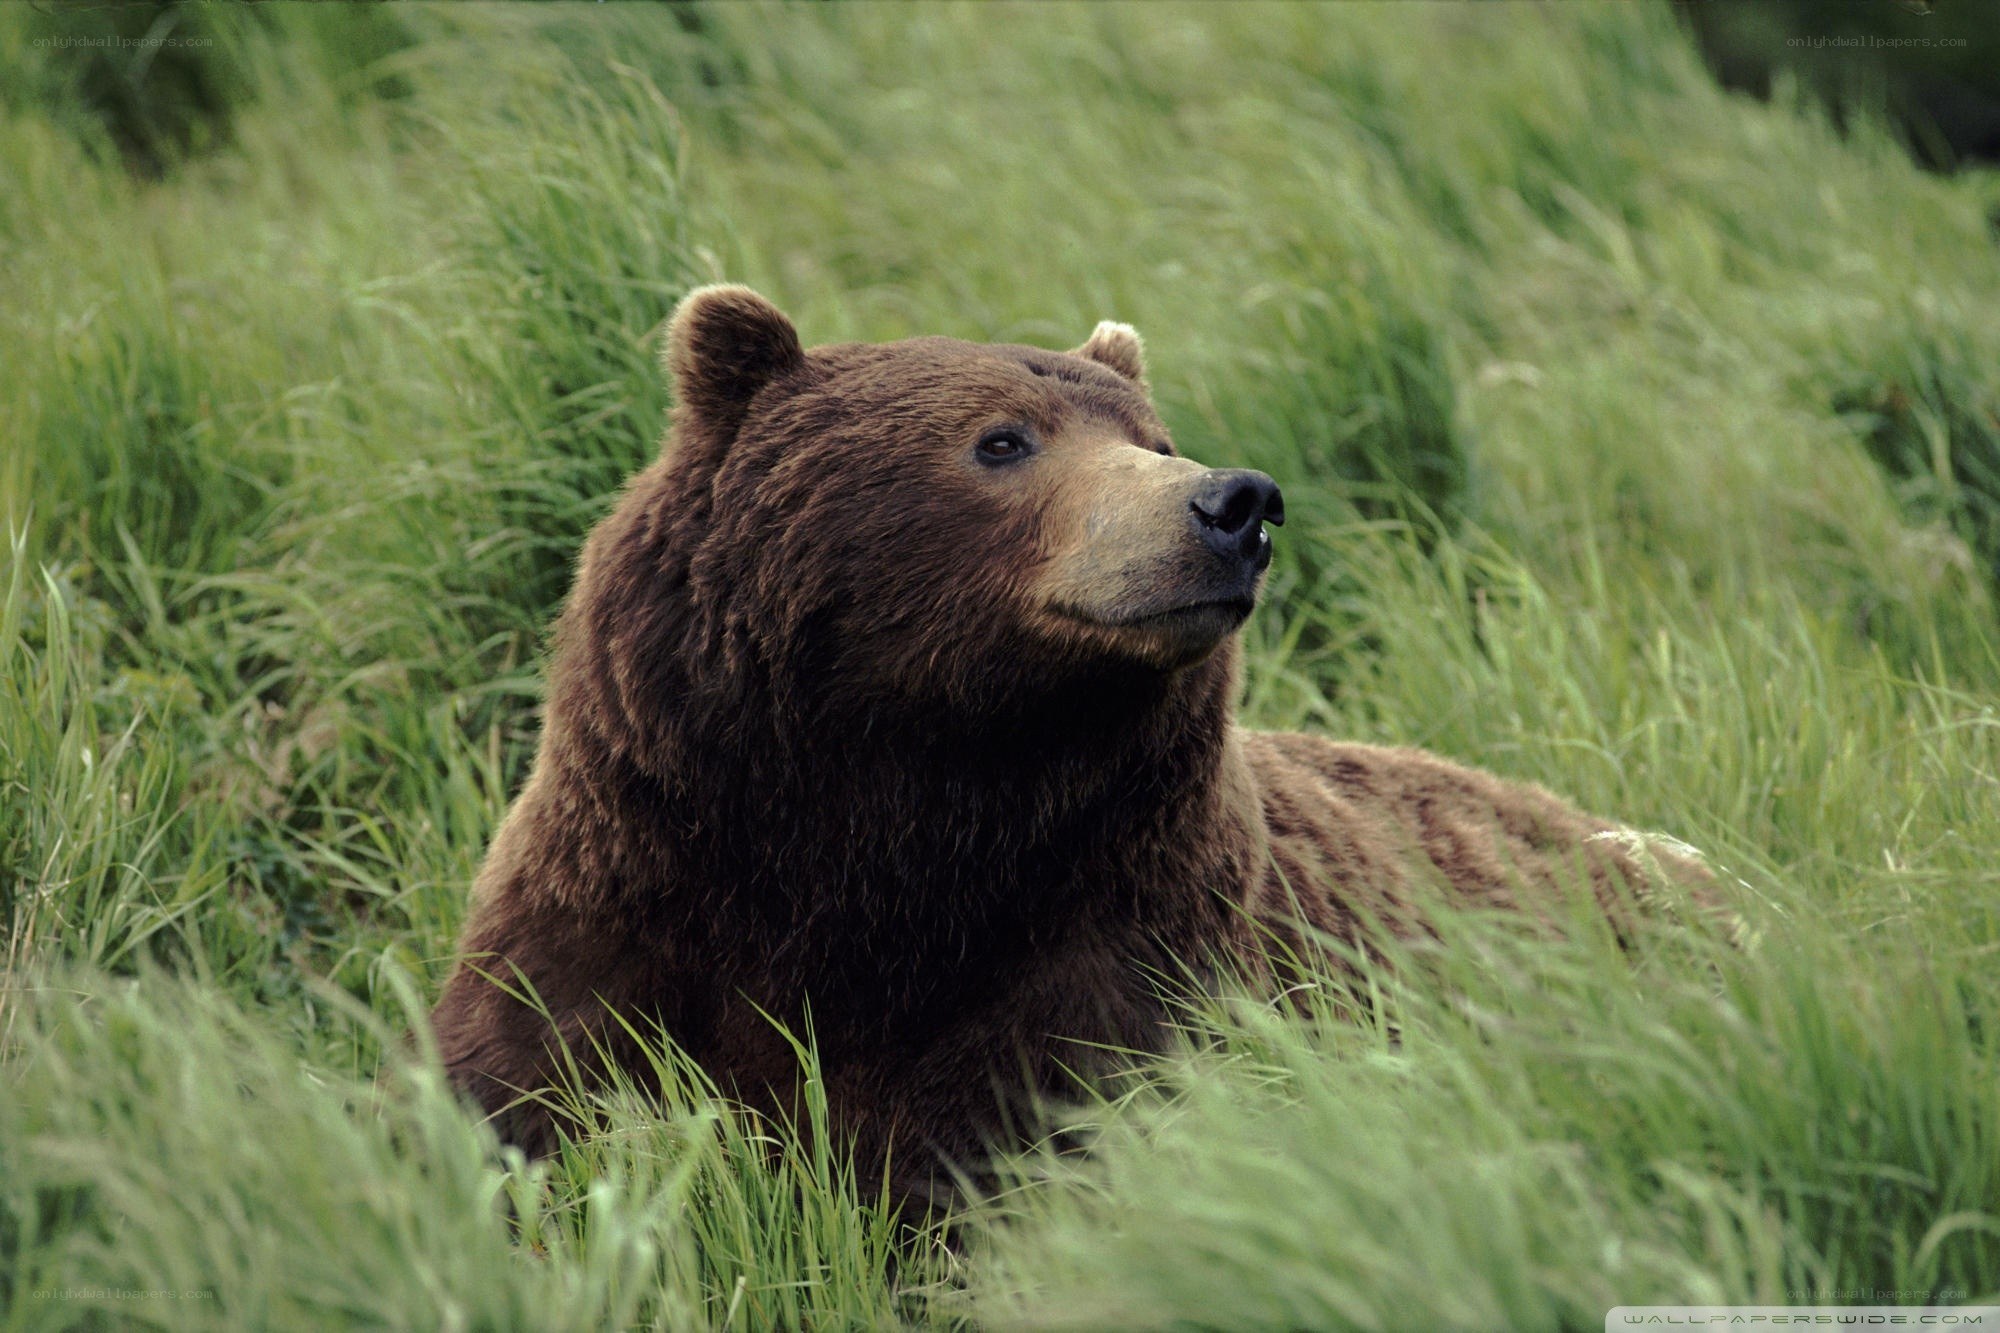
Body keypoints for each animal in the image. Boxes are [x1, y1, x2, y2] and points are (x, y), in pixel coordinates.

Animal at [428, 284, 1713, 1207]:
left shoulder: (1107, 935)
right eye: (1002, 440)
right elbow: (538, 1090)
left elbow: (1026, 1139)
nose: (1233, 503)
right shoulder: (636, 881)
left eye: (1154, 435)